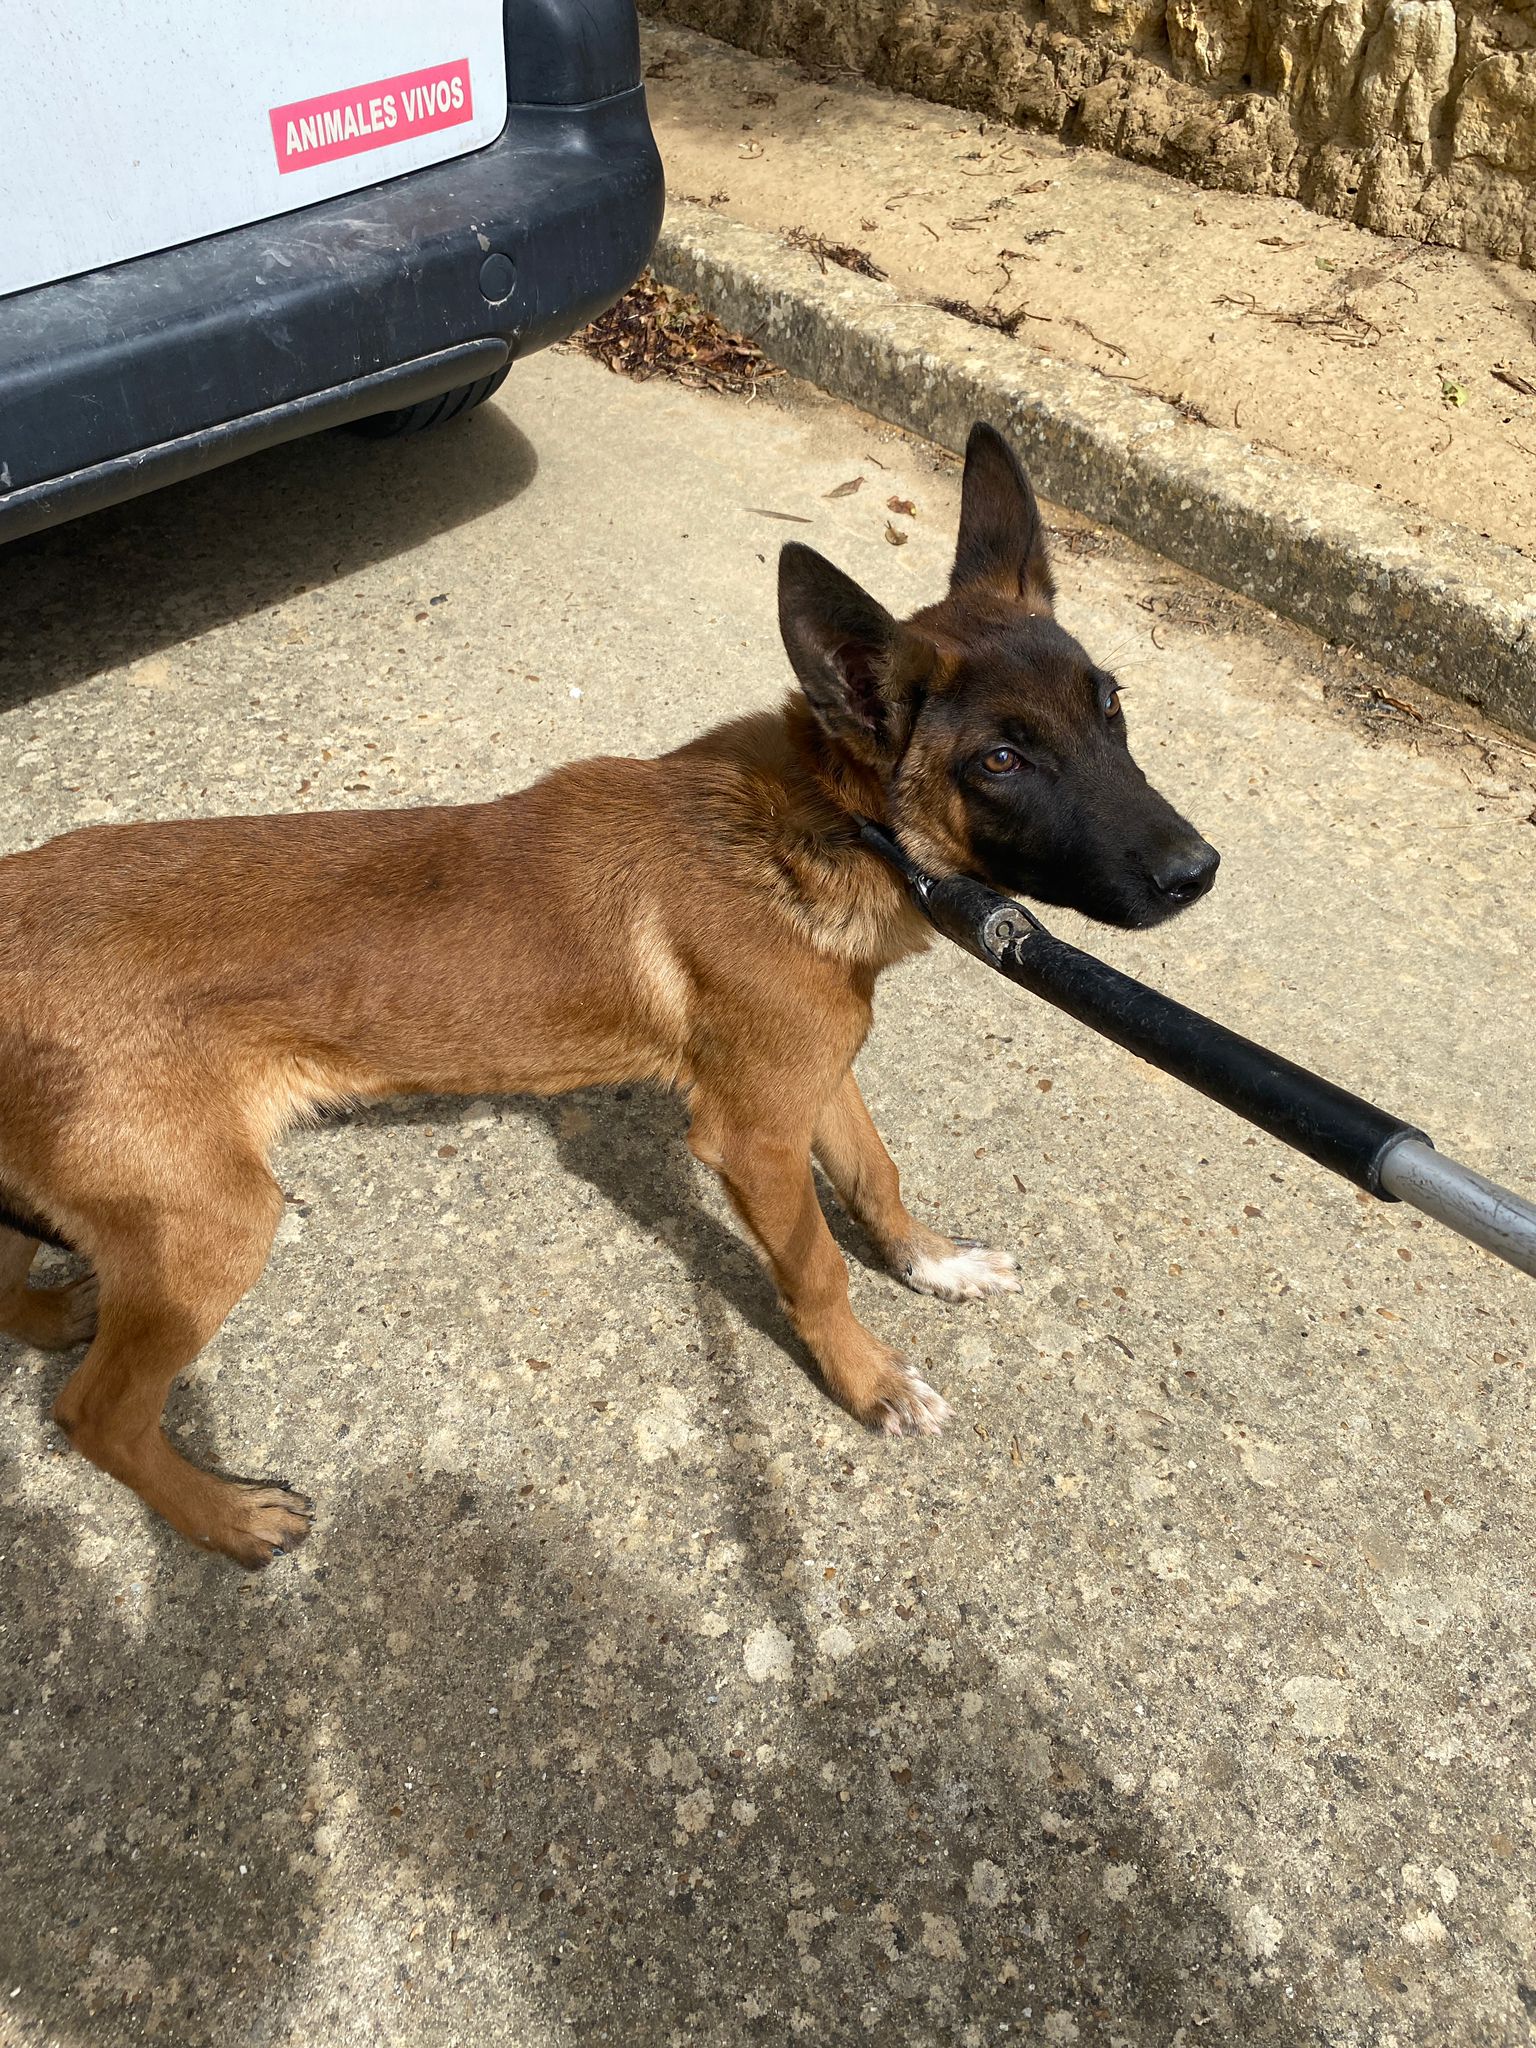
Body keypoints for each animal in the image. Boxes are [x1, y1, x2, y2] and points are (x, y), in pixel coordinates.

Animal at [0, 424, 1218, 1567]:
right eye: (1000, 760)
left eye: (1111, 708)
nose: (1196, 872)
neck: (831, 820)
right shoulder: (753, 1137)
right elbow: (818, 1267)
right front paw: (867, 1380)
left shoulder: (809, 1080)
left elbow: (876, 1178)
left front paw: (933, 1263)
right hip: (215, 1225)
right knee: (96, 1415)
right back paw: (223, 1515)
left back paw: (63, 1309)